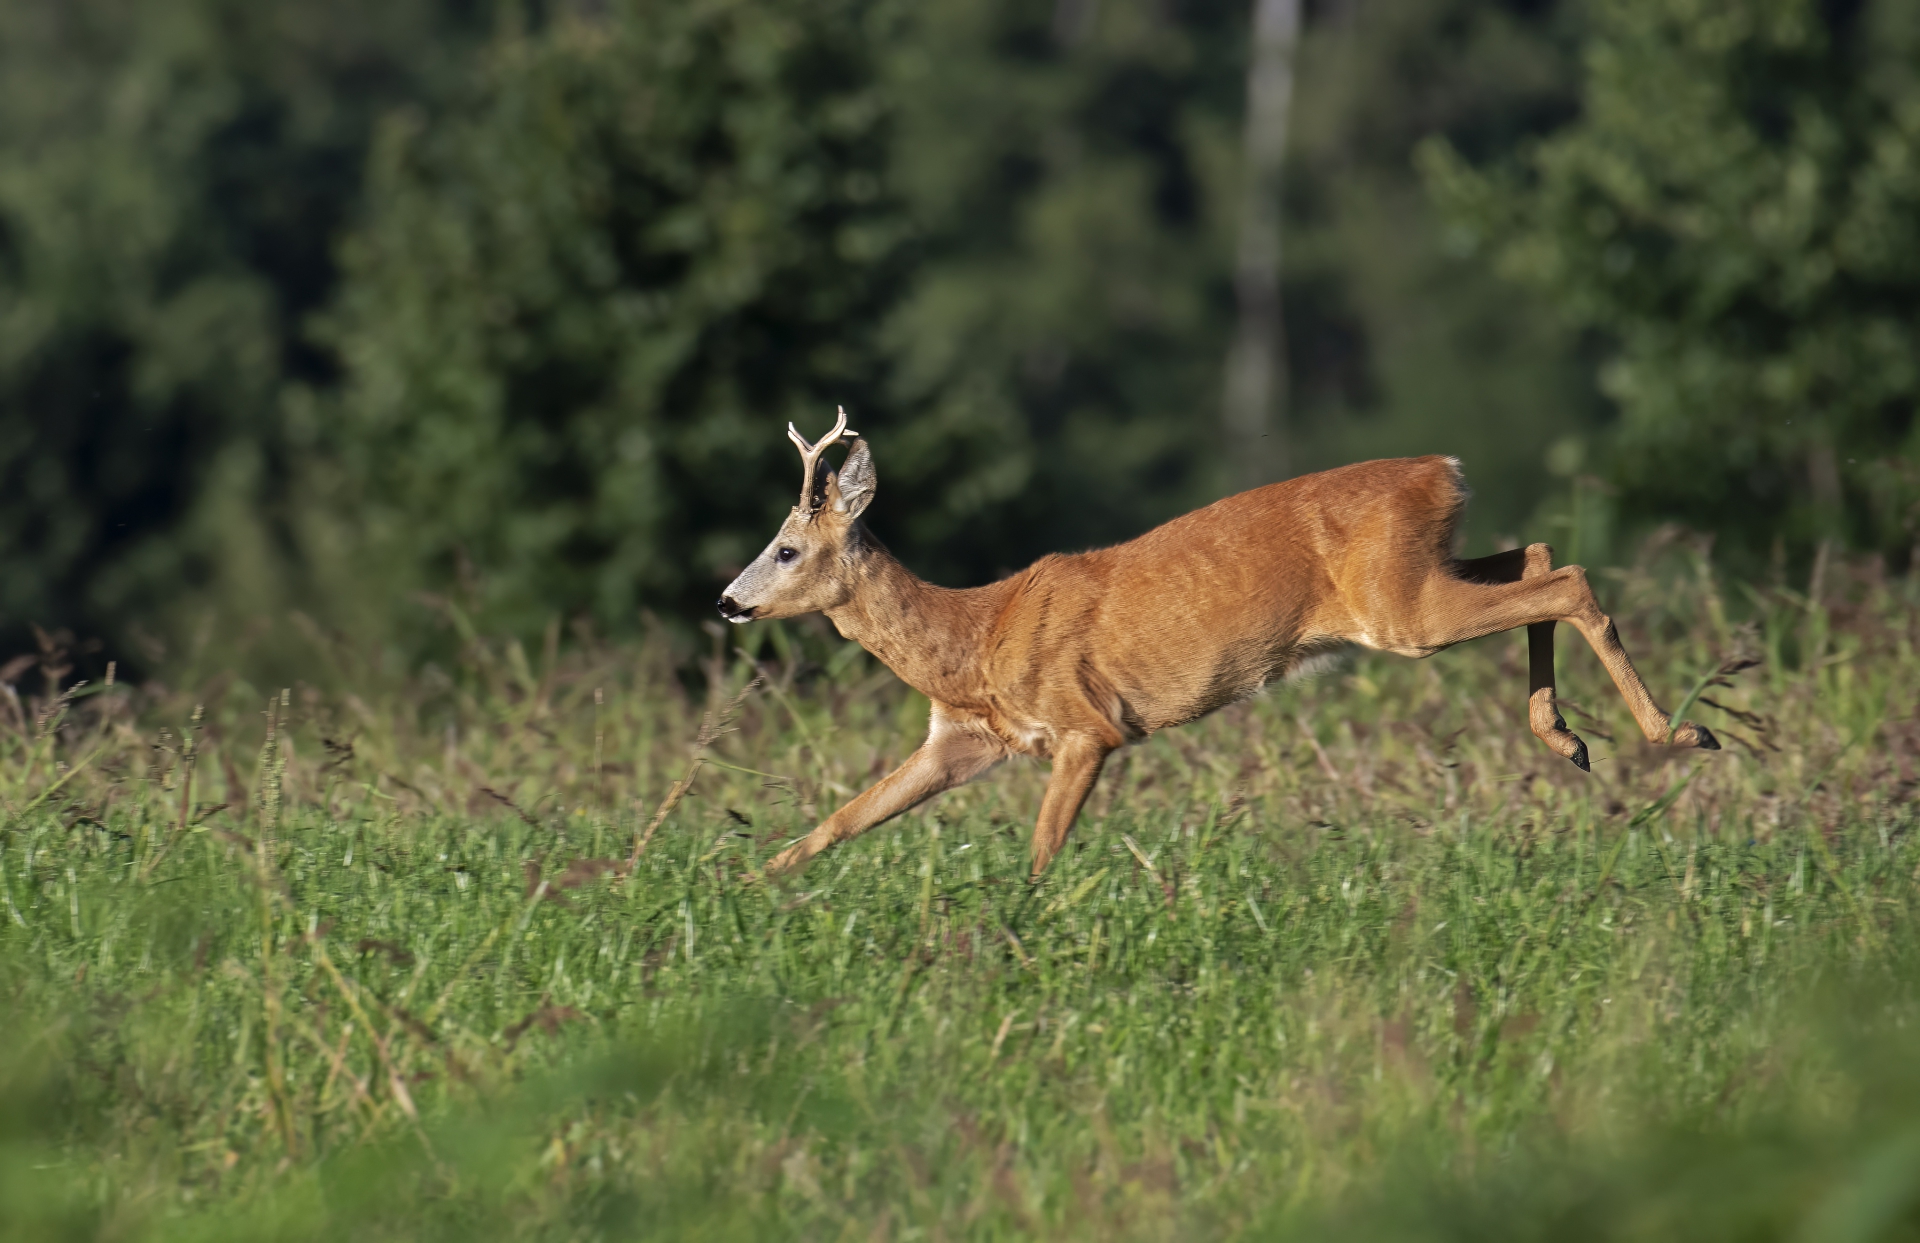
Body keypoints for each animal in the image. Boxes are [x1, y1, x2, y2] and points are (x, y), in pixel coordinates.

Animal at [721, 409, 1728, 876]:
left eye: (786, 546)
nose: (728, 601)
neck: (976, 634)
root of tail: (1445, 469)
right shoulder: (966, 740)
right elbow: (844, 816)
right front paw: (753, 881)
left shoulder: (1087, 726)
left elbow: (1042, 847)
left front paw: (1022, 924)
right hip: (1422, 576)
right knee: (1543, 557)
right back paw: (1569, 738)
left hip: (1402, 610)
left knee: (1570, 577)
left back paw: (1680, 733)